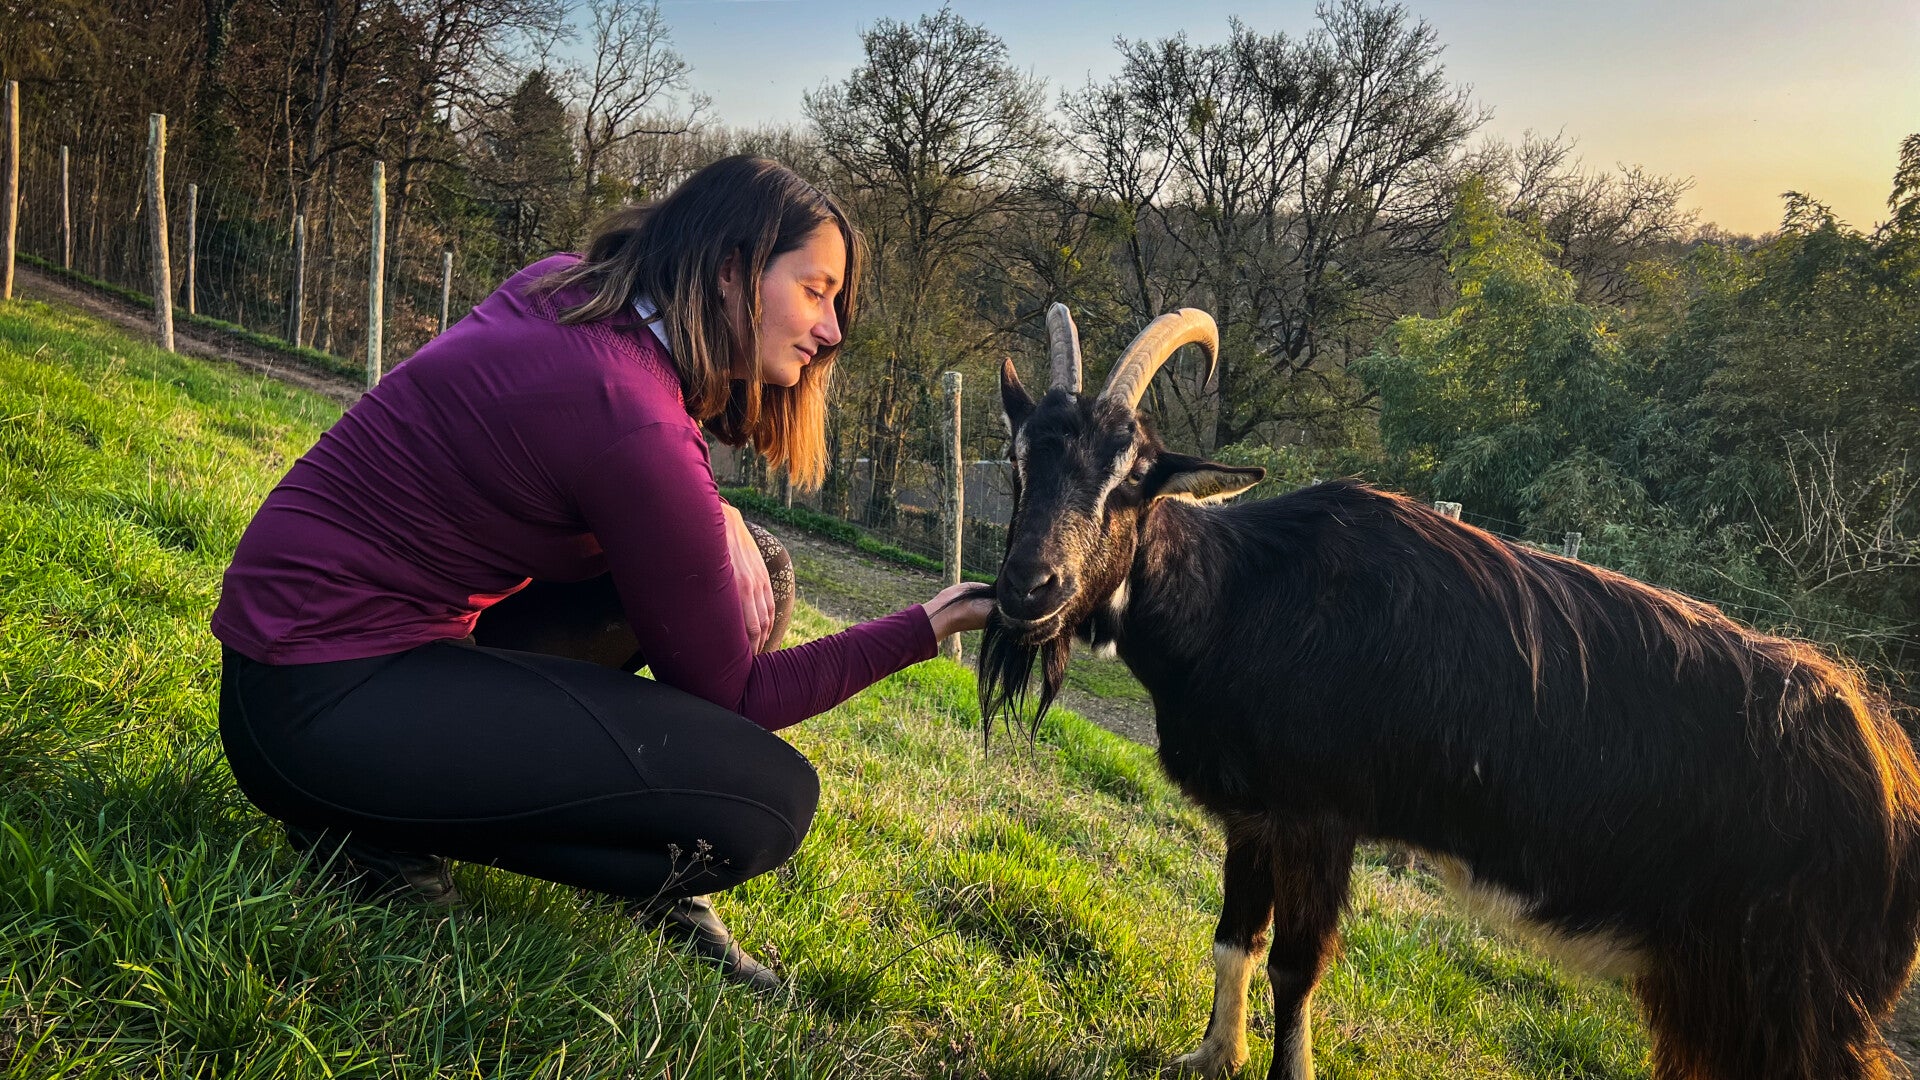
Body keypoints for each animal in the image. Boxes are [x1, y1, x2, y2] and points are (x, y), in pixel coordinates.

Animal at [977, 303, 1920, 1080]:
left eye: (1131, 479)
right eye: (1020, 461)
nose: (1031, 588)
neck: (1242, 597)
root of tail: (1890, 773)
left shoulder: (1321, 816)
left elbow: (1294, 966)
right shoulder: (1255, 817)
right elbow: (1233, 939)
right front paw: (1211, 1056)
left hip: (1798, 993)